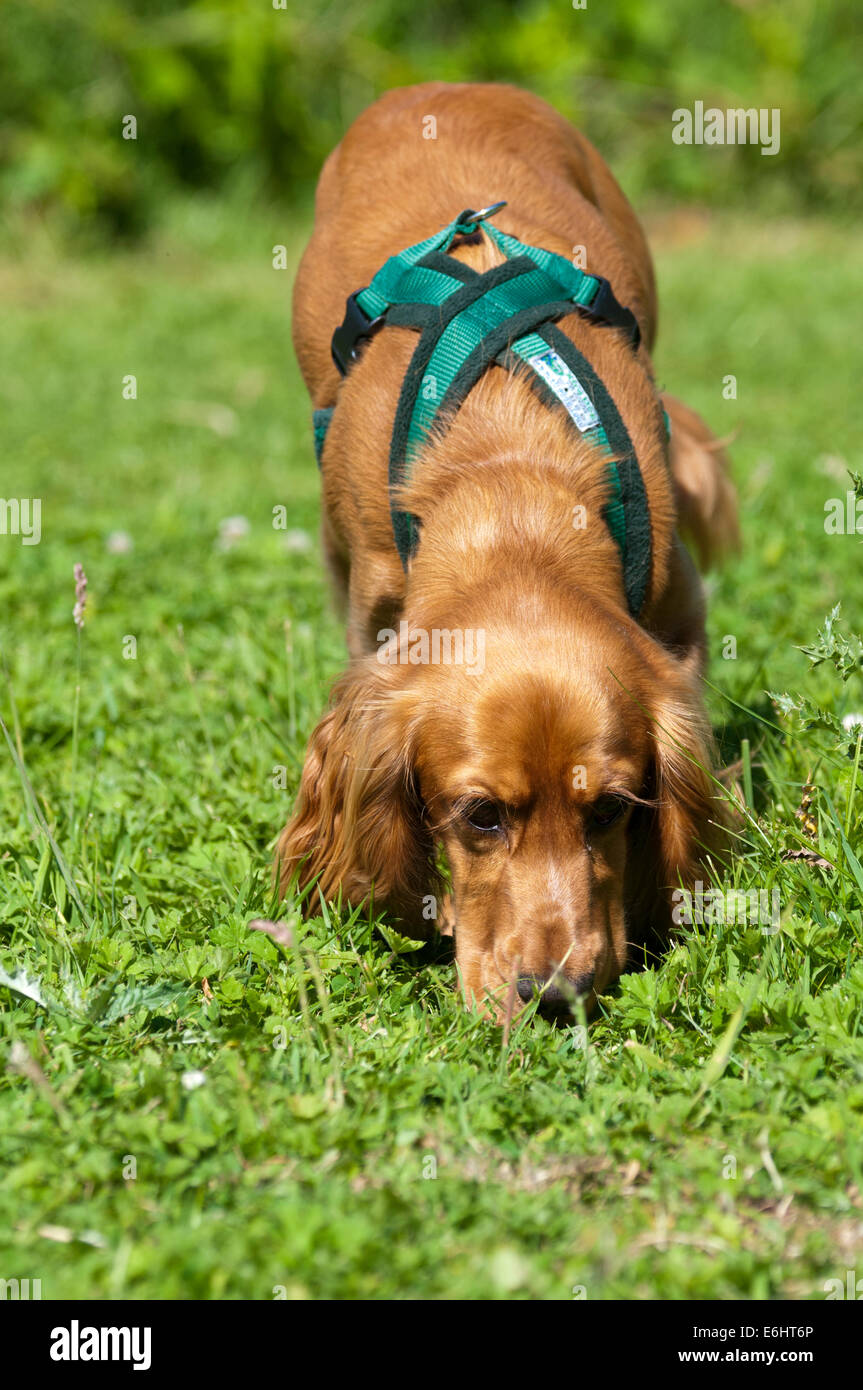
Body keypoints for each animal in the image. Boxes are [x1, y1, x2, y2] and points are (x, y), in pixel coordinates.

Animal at [273, 86, 733, 1023]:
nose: (554, 995)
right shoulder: (373, 622)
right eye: (480, 815)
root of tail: (440, 87)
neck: (511, 479)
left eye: (613, 809)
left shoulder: (679, 612)